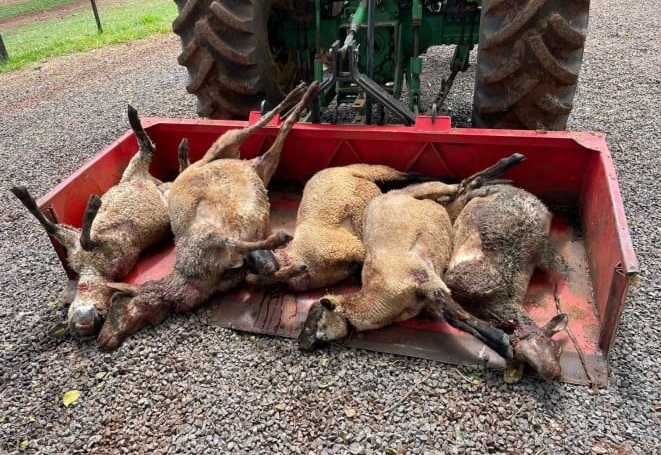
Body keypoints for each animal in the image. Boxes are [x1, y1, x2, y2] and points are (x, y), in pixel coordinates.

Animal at [10, 106, 175, 338]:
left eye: (98, 318)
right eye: (74, 327)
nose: (84, 323)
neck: (91, 269)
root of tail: (153, 181)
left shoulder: (112, 247)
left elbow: (73, 234)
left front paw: (91, 206)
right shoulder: (78, 246)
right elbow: (58, 230)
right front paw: (27, 200)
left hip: (138, 178)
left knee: (148, 149)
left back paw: (133, 116)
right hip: (133, 176)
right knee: (146, 151)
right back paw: (134, 118)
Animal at [98, 82, 322, 350]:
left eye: (116, 301)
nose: (101, 340)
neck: (193, 281)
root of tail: (245, 163)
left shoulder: (204, 236)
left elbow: (235, 242)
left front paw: (281, 239)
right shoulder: (230, 273)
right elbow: (253, 276)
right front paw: (294, 268)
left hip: (223, 143)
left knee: (258, 122)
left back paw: (302, 91)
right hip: (263, 167)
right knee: (281, 132)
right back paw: (304, 94)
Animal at [245, 164, 436, 292]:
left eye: (259, 252)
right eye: (249, 263)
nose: (264, 267)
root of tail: (336, 168)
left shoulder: (348, 246)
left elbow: (364, 259)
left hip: (367, 170)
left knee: (398, 174)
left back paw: (426, 178)